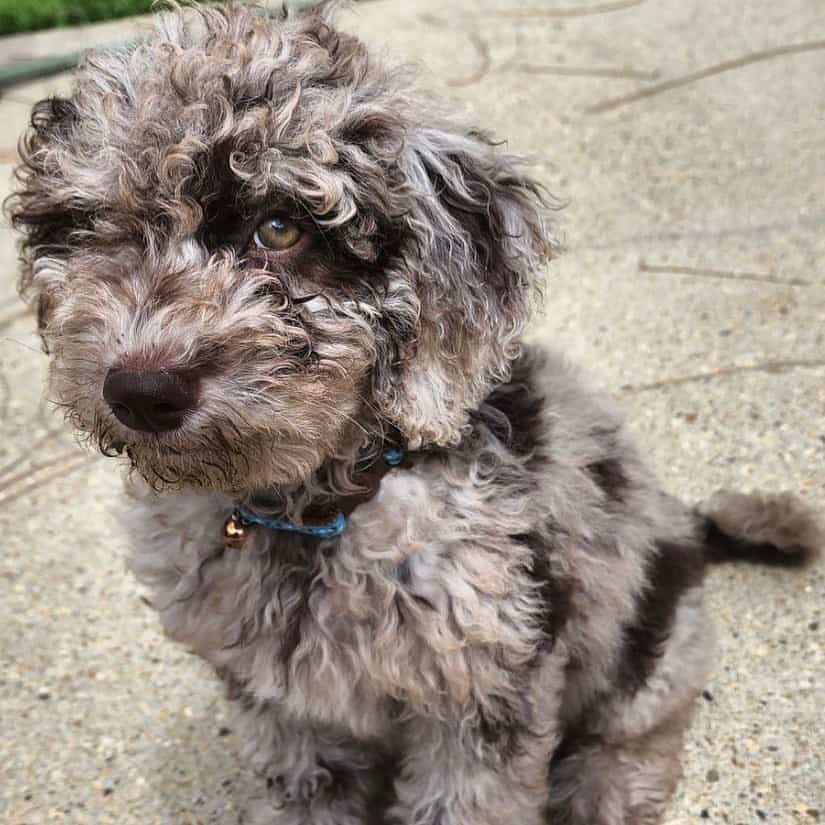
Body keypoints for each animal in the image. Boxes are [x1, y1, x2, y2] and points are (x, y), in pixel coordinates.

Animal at [4, 3, 816, 820]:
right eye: (89, 225)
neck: (316, 513)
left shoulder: (484, 692)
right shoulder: (285, 710)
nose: (141, 392)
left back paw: (604, 784)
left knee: (639, 728)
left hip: (649, 644)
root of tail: (689, 527)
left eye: (281, 228)